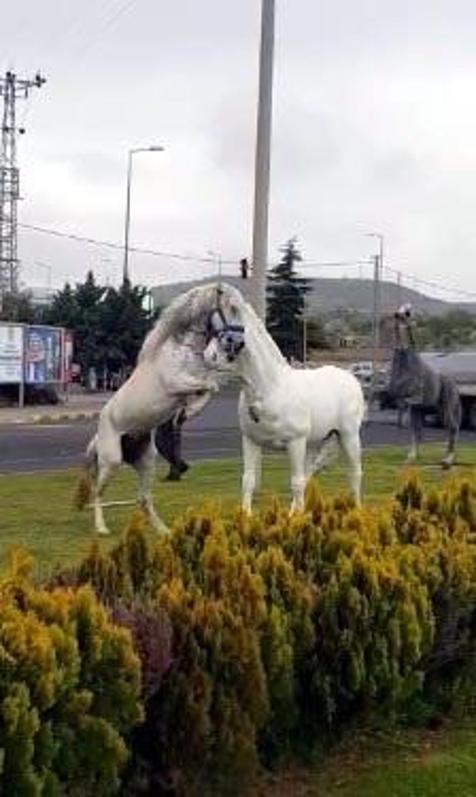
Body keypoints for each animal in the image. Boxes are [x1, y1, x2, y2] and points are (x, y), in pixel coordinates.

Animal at [78, 282, 244, 536]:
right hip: (112, 460)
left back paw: (164, 531)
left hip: (146, 461)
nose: (238, 343)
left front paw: (187, 412)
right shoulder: (178, 383)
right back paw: (102, 528)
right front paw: (189, 412)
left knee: (143, 499)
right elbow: (211, 385)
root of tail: (98, 436)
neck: (183, 350)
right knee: (98, 491)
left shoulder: (194, 381)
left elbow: (210, 387)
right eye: (231, 307)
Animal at [204, 292, 364, 510]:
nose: (207, 357)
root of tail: (351, 378)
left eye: (229, 334)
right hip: (315, 441)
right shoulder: (251, 441)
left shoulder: (295, 442)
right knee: (308, 474)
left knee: (354, 473)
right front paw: (246, 515)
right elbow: (248, 480)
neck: (271, 390)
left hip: (348, 436)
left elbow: (295, 482)